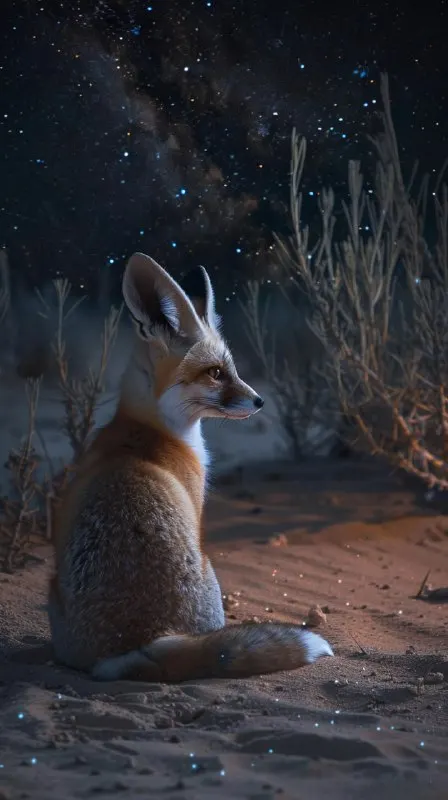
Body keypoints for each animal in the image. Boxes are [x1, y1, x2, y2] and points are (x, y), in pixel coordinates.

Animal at [48, 252, 334, 682]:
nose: (260, 401)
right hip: (208, 565)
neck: (152, 427)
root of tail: (144, 640)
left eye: (232, 369)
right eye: (216, 373)